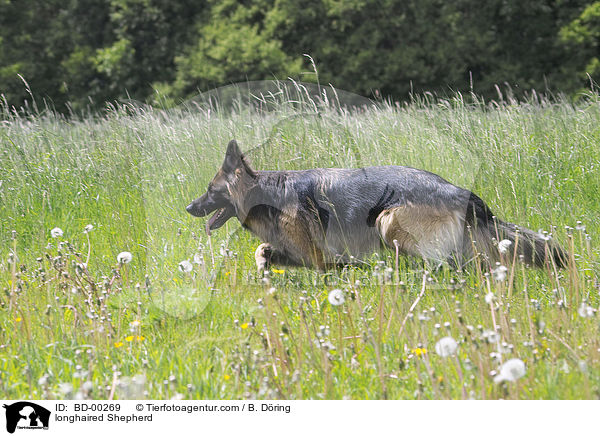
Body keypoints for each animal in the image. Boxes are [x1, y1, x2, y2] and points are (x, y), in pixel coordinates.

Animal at [188, 141, 568, 272]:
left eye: (210, 191)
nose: (190, 207)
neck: (265, 194)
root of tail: (462, 192)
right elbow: (263, 252)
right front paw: (263, 268)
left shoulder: (317, 256)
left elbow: (329, 265)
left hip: (388, 219)